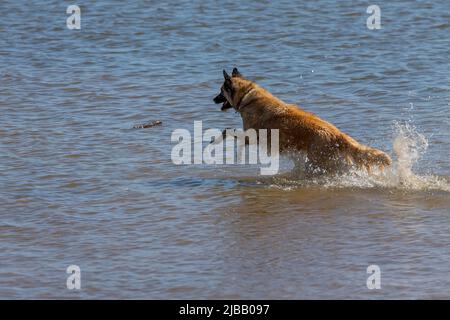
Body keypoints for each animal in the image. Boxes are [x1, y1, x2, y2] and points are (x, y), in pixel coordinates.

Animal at [214, 67, 390, 172]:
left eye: (221, 91)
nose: (213, 99)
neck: (247, 97)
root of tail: (339, 135)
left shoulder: (251, 136)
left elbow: (228, 131)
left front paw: (216, 140)